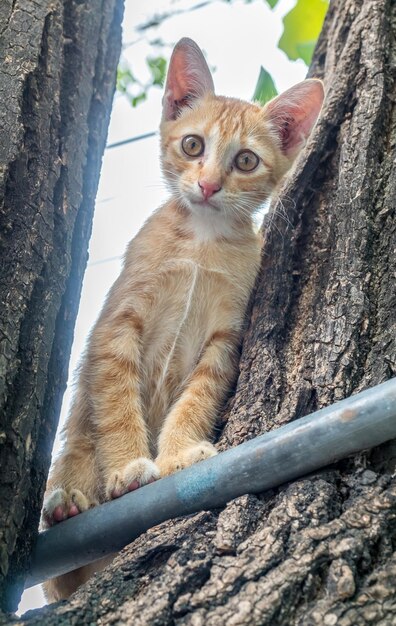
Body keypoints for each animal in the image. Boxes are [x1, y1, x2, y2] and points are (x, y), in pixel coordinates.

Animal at [41, 36, 324, 596]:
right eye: (193, 146)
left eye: (245, 160)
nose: (210, 186)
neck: (201, 241)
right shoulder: (117, 324)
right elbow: (117, 399)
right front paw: (130, 464)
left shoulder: (225, 340)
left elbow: (196, 399)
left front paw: (176, 455)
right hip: (75, 449)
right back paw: (65, 505)